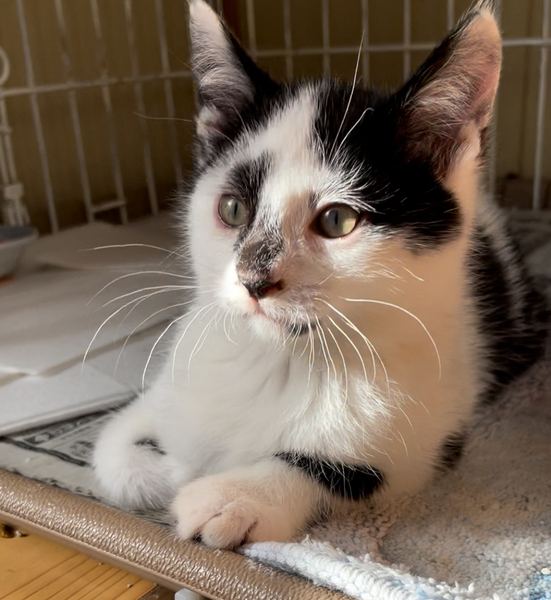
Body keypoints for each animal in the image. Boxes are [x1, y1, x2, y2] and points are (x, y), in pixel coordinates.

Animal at [93, 0, 548, 549]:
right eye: (232, 208)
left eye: (337, 221)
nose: (254, 279)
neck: (281, 360)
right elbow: (114, 450)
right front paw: (169, 468)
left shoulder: (427, 430)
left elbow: (345, 469)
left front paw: (231, 496)